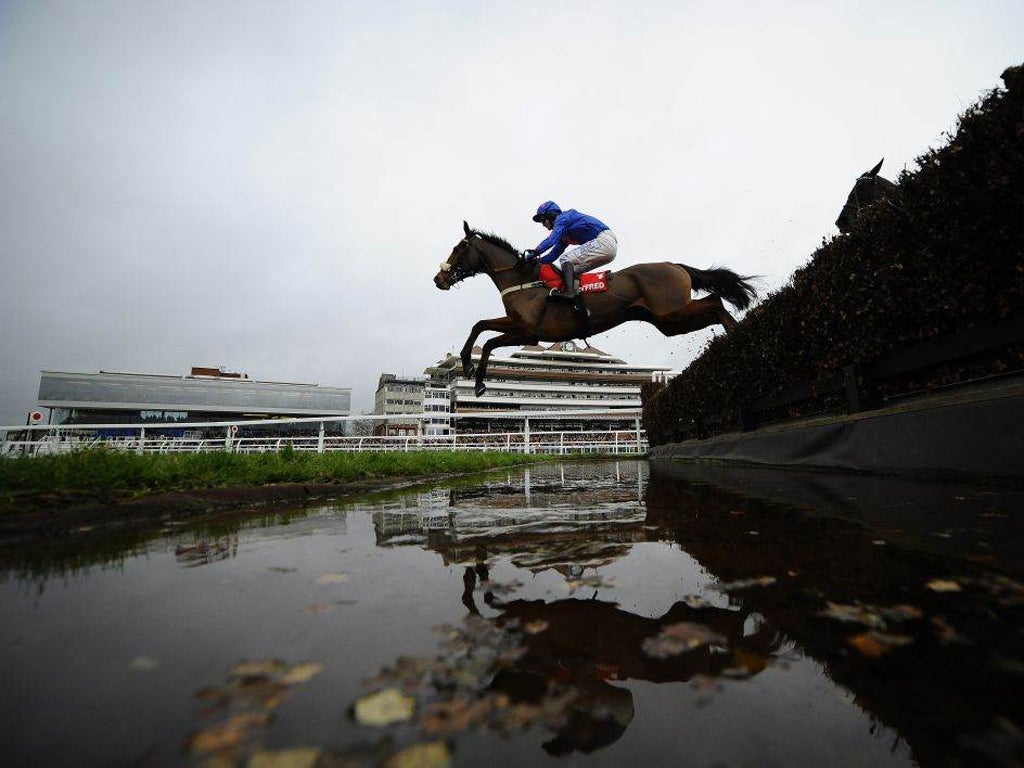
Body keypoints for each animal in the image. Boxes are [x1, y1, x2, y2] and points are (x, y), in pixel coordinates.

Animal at [428, 219, 757, 393]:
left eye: (458, 249)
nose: (438, 278)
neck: (524, 280)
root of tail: (675, 265)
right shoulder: (518, 325)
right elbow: (479, 326)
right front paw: (468, 364)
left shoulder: (527, 332)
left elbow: (489, 340)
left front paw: (477, 379)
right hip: (668, 322)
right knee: (713, 305)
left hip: (671, 312)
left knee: (715, 301)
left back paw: (738, 334)